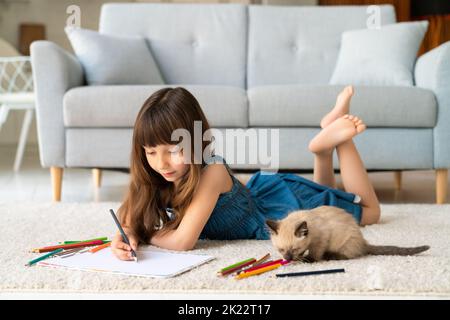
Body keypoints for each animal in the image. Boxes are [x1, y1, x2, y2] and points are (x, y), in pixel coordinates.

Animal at [266, 205, 430, 262]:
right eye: (281, 250)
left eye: (294, 249)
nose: (287, 258)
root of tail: (364, 242)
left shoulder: (321, 239)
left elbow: (315, 252)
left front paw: (307, 259)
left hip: (344, 243)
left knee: (347, 255)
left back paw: (330, 256)